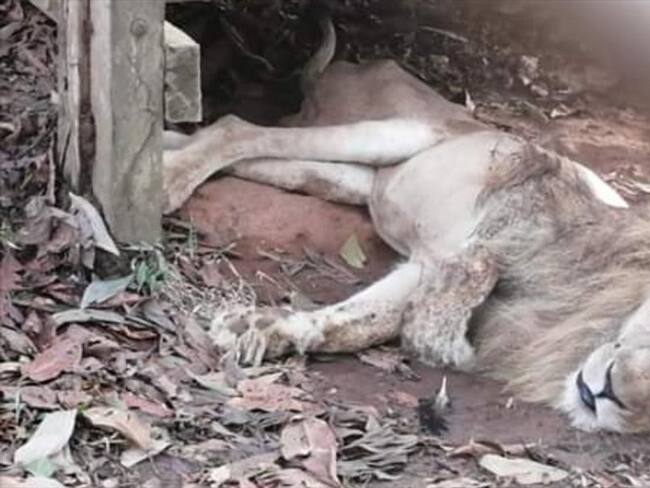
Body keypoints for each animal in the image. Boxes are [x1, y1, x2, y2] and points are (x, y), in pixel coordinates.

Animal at [162, 16, 650, 433]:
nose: (611, 393)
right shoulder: (511, 215)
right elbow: (442, 316)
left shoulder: (422, 268)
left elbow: (367, 320)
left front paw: (263, 329)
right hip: (398, 131)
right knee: (238, 128)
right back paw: (171, 180)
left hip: (353, 177)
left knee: (257, 155)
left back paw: (170, 147)